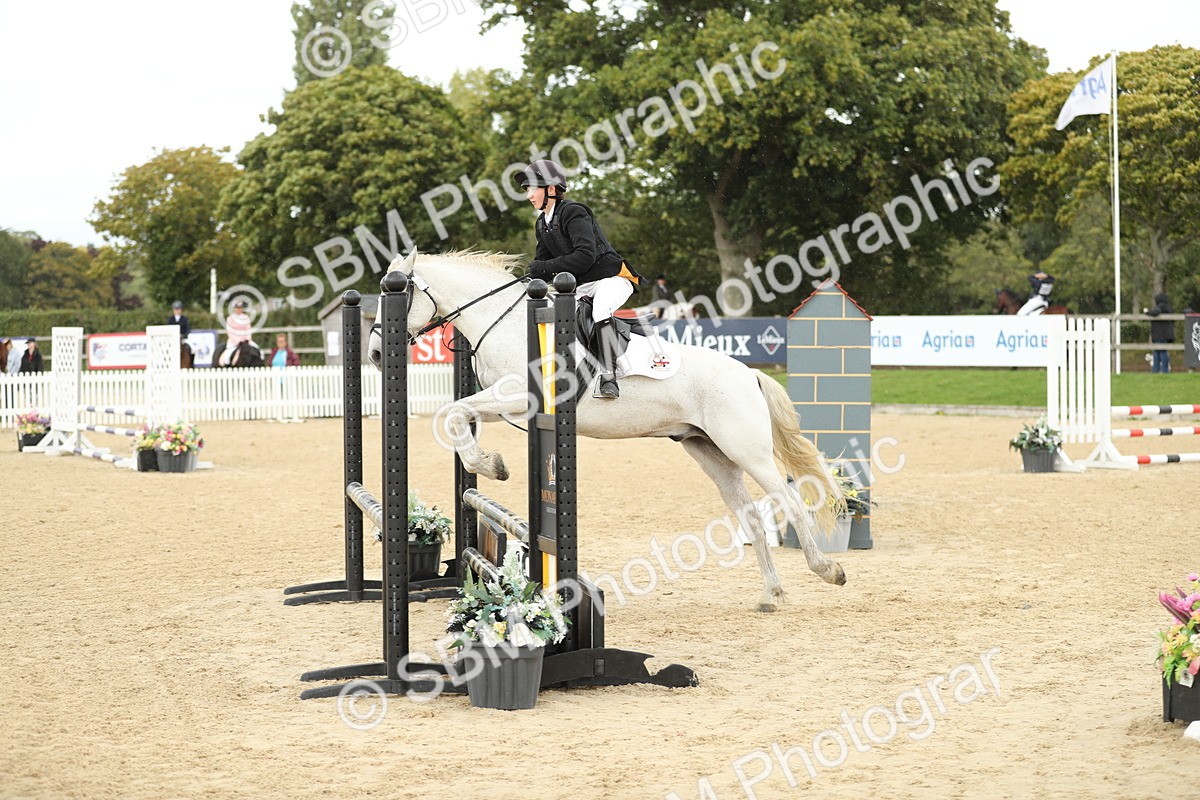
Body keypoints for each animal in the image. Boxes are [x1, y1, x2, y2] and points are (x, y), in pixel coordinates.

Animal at [370, 249, 847, 612]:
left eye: (397, 290)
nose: (376, 353)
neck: (503, 323)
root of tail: (749, 373)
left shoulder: (517, 396)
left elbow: (452, 413)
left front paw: (493, 466)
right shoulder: (502, 403)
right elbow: (454, 416)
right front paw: (491, 463)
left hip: (747, 450)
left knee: (791, 501)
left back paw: (828, 570)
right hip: (712, 454)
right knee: (750, 517)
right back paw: (770, 593)